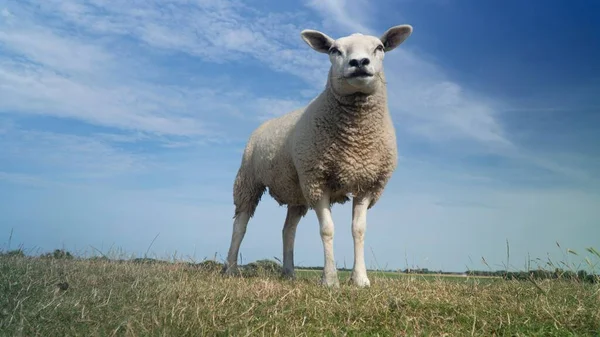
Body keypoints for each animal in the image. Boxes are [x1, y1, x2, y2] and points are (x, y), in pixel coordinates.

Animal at [223, 23, 414, 286]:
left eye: (380, 47)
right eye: (334, 50)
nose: (359, 62)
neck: (356, 140)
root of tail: (262, 126)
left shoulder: (368, 183)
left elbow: (358, 230)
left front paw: (360, 279)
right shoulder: (317, 180)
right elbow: (327, 229)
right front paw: (330, 279)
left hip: (296, 190)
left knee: (288, 230)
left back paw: (289, 273)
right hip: (249, 180)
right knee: (240, 225)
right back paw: (230, 268)